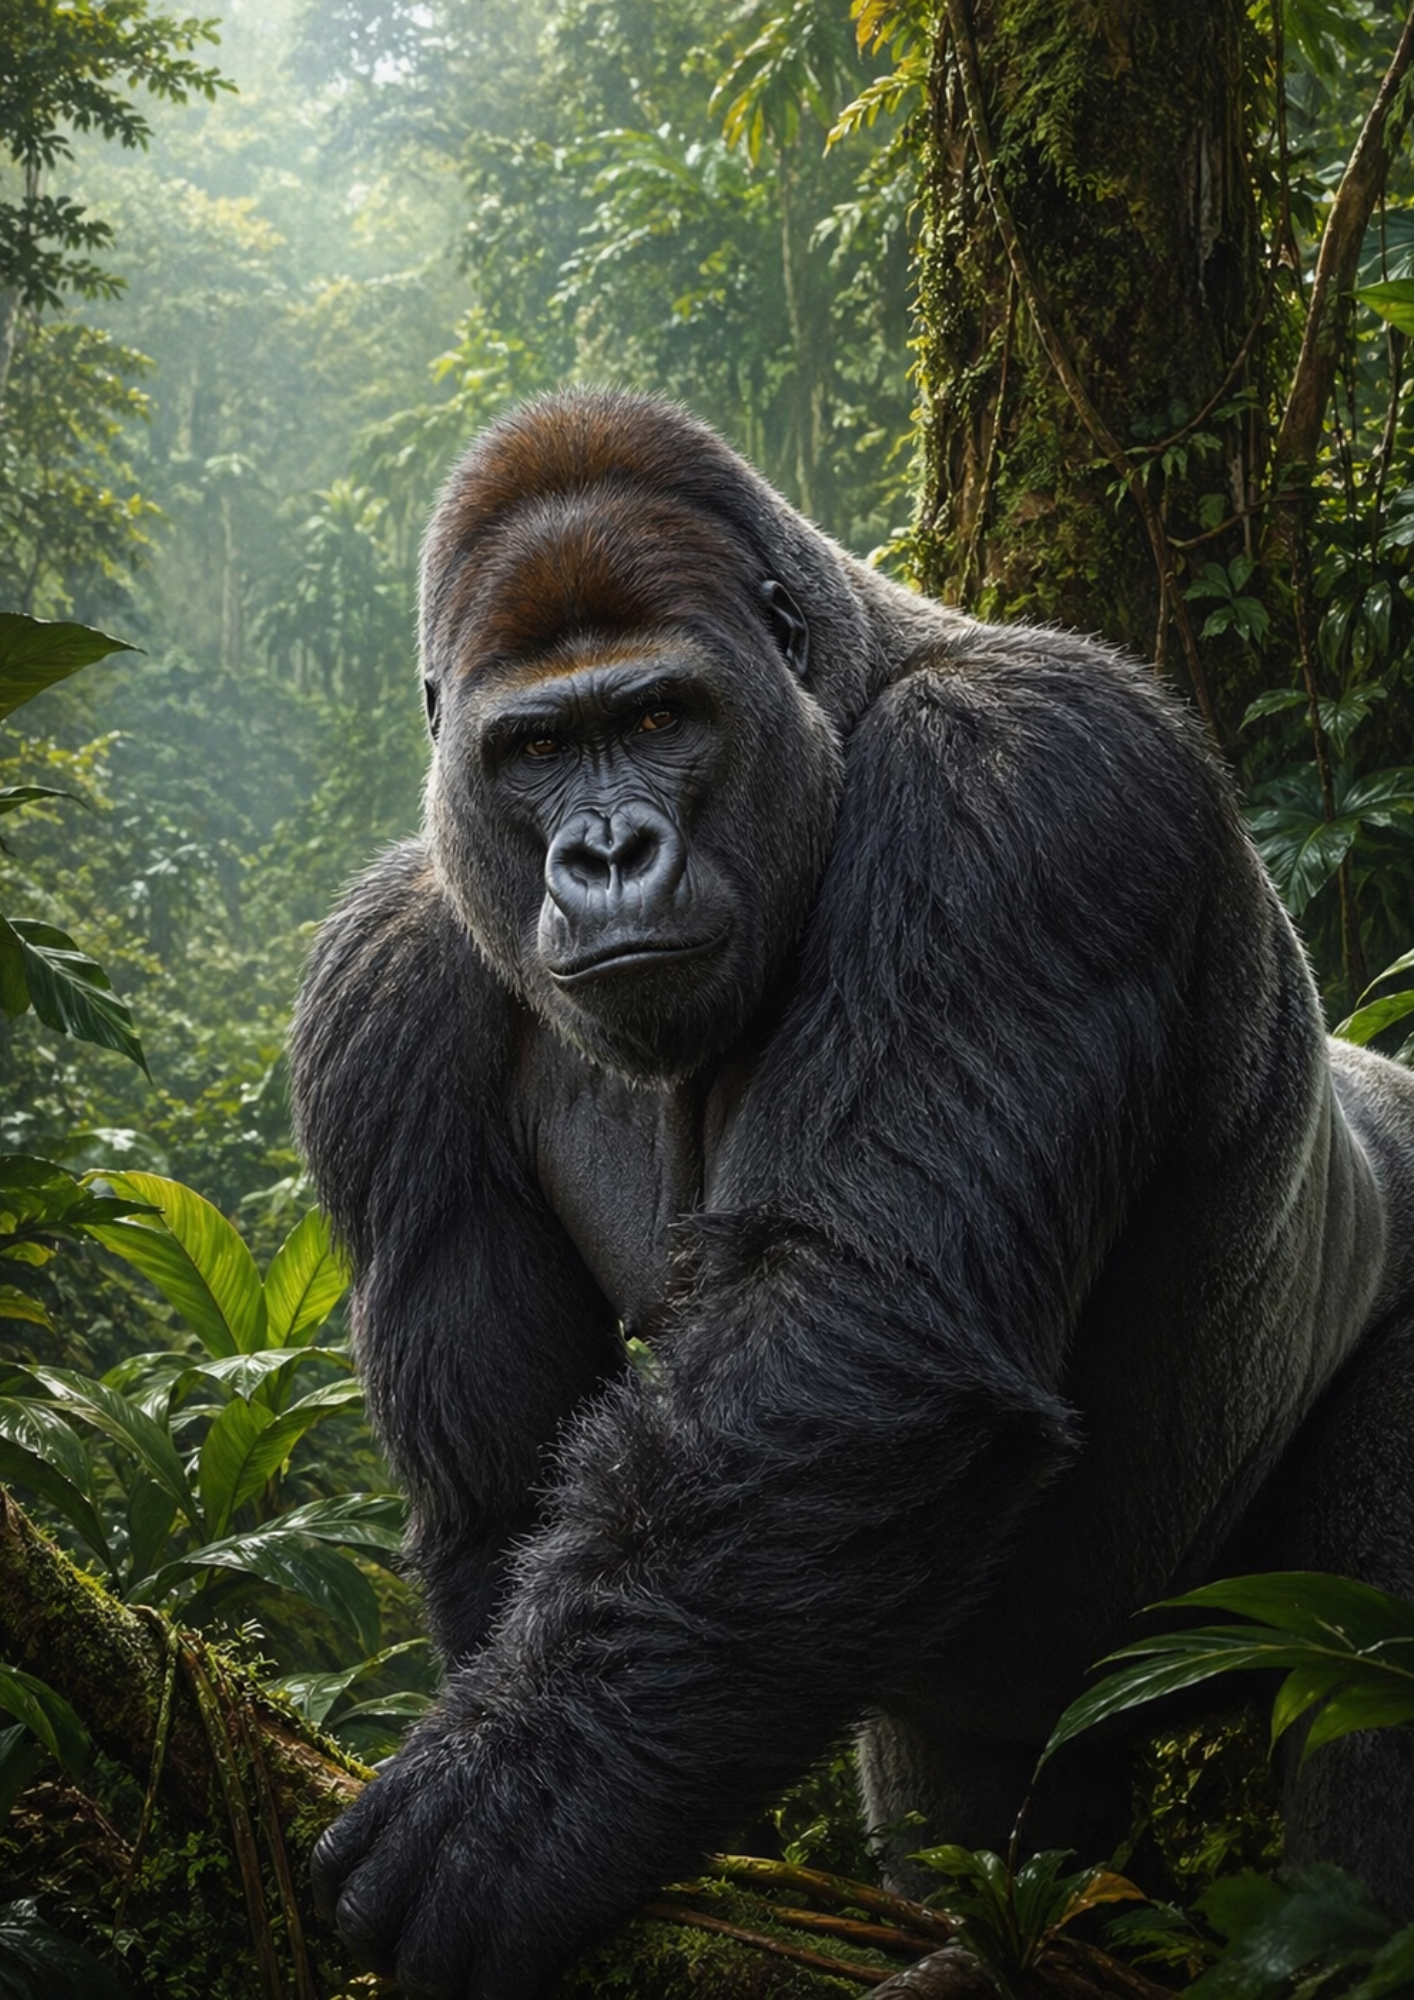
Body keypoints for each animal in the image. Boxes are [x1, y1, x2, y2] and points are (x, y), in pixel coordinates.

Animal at [292, 388, 1414, 1999]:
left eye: (658, 719)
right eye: (536, 747)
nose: (607, 853)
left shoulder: (1022, 790)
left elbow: (864, 1336)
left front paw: (512, 1806)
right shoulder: (383, 983)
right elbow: (494, 1490)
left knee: (1361, 1664)